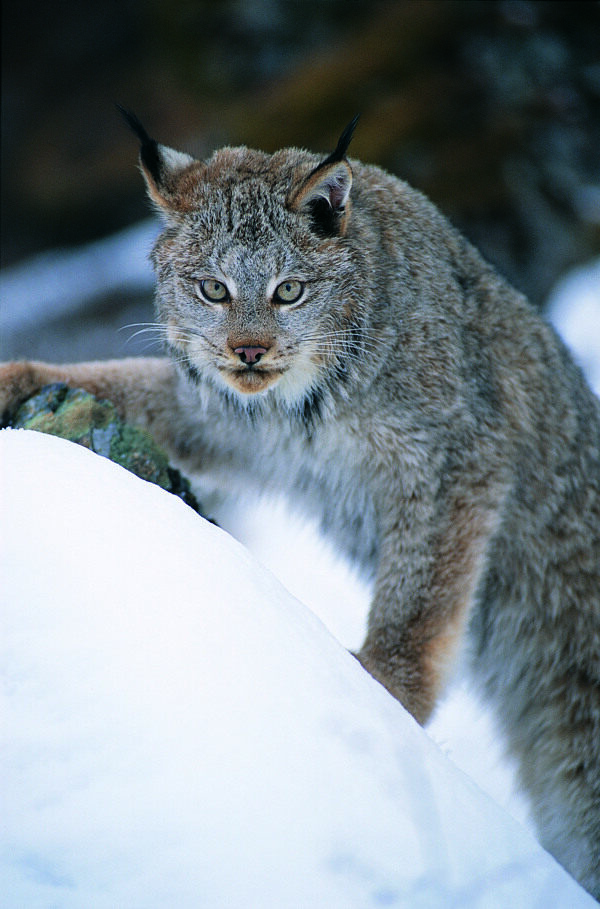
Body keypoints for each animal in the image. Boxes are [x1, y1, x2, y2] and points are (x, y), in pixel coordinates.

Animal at [1, 111, 600, 892]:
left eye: (289, 291)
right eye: (212, 289)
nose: (249, 351)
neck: (311, 403)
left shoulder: (459, 458)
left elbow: (420, 597)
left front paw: (385, 691)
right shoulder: (230, 420)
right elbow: (128, 380)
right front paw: (19, 375)